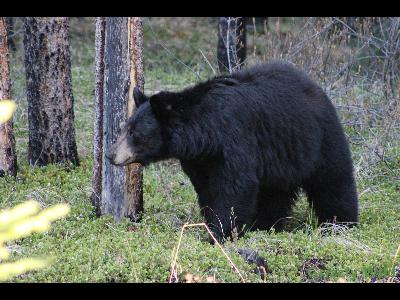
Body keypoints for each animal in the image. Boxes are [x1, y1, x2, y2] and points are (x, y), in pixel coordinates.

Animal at [106, 61, 360, 241]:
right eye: (124, 128)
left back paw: (340, 224)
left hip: (319, 137)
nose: (110, 154)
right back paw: (265, 225)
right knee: (275, 192)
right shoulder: (200, 160)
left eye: (134, 133)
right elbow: (207, 189)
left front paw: (220, 234)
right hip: (281, 156)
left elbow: (236, 186)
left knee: (333, 180)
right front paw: (212, 224)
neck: (205, 135)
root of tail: (315, 87)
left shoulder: (234, 140)